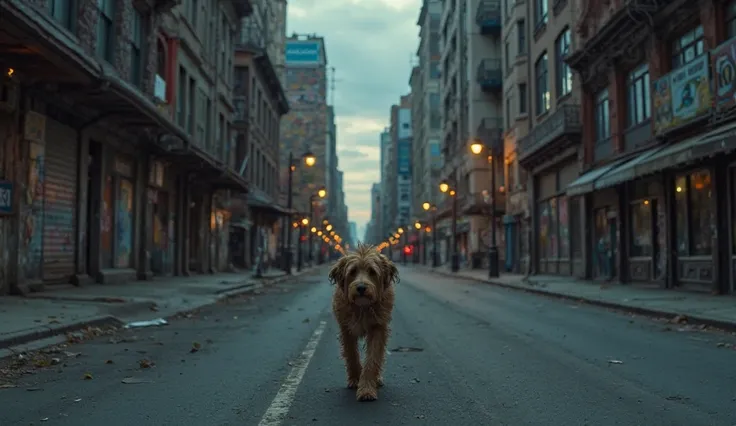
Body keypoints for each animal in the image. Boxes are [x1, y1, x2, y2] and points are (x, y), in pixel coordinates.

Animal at [330, 245, 396, 402]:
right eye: (353, 271)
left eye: (372, 271)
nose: (361, 287)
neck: (362, 307)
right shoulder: (346, 329)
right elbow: (352, 354)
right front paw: (355, 379)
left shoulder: (378, 328)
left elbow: (373, 358)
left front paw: (366, 389)